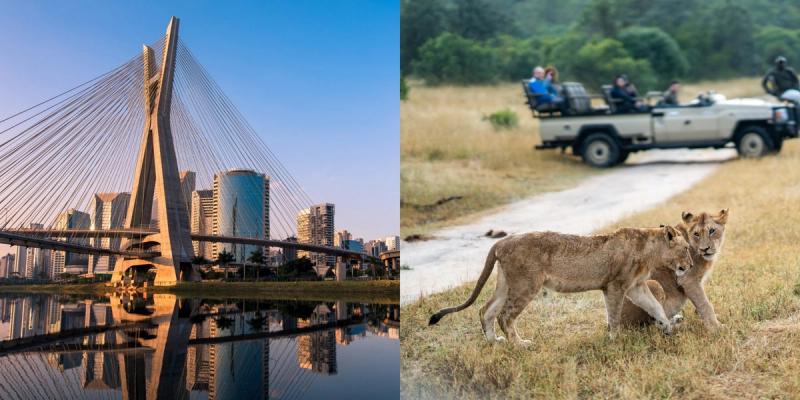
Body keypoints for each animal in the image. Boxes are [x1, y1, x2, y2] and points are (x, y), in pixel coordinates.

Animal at [428, 226, 694, 345]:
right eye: (685, 249)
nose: (690, 265)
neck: (650, 251)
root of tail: (502, 242)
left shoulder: (636, 287)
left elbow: (655, 307)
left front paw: (667, 327)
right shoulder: (615, 287)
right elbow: (614, 316)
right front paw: (613, 340)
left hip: (506, 284)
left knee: (486, 310)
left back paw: (495, 342)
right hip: (527, 284)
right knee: (505, 316)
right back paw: (520, 345)